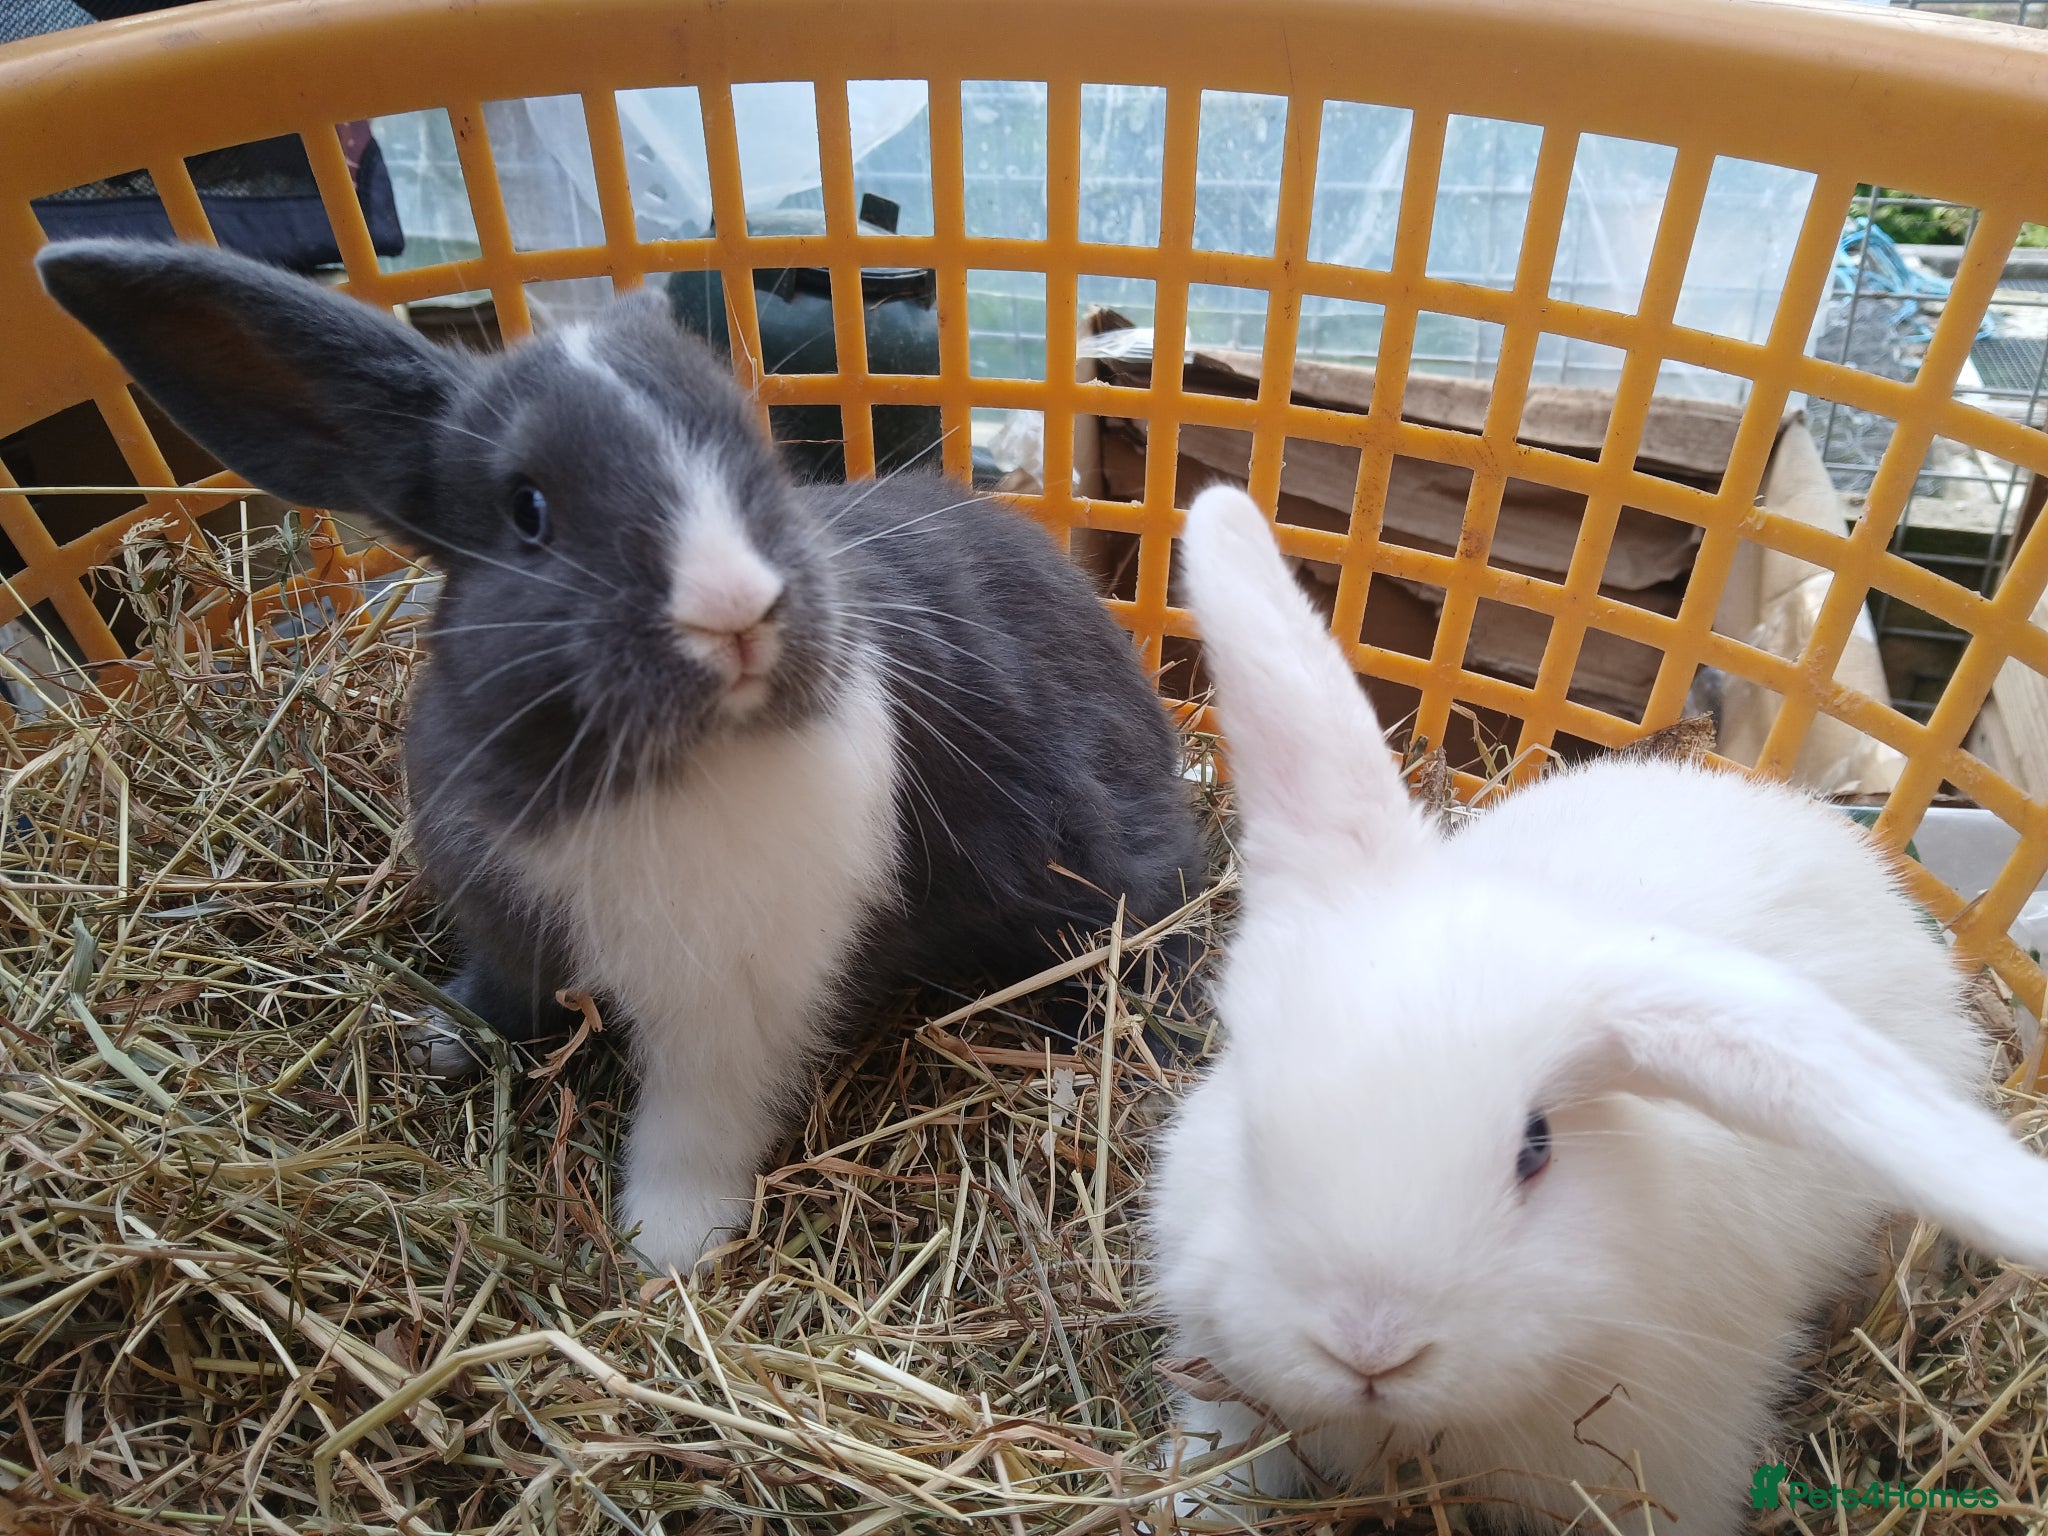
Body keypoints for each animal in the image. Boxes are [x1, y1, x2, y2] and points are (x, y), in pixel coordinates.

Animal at [37, 238, 1203, 1270]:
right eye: (528, 510)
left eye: (756, 457)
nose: (734, 611)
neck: (630, 770)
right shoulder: (508, 919)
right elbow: (507, 988)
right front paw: (442, 1039)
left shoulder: (732, 1002)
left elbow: (693, 1122)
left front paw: (663, 1251)